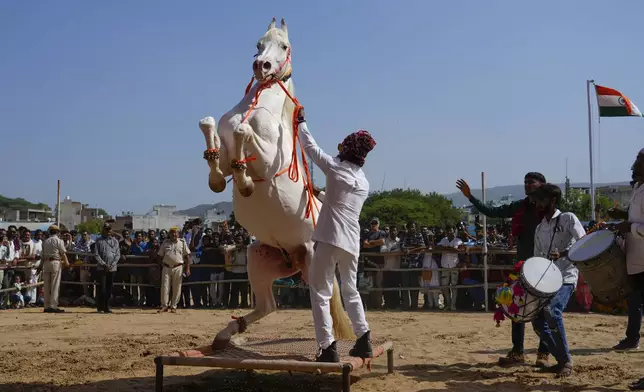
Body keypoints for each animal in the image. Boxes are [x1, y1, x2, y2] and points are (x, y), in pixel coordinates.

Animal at [200, 17, 354, 350]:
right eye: (258, 43)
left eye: (284, 46)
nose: (262, 65)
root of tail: (293, 258)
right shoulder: (222, 156)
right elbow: (214, 149)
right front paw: (228, 175)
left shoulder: (270, 160)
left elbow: (245, 135)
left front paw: (245, 182)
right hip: (258, 260)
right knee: (268, 306)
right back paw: (225, 335)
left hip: (314, 262)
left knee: (320, 302)